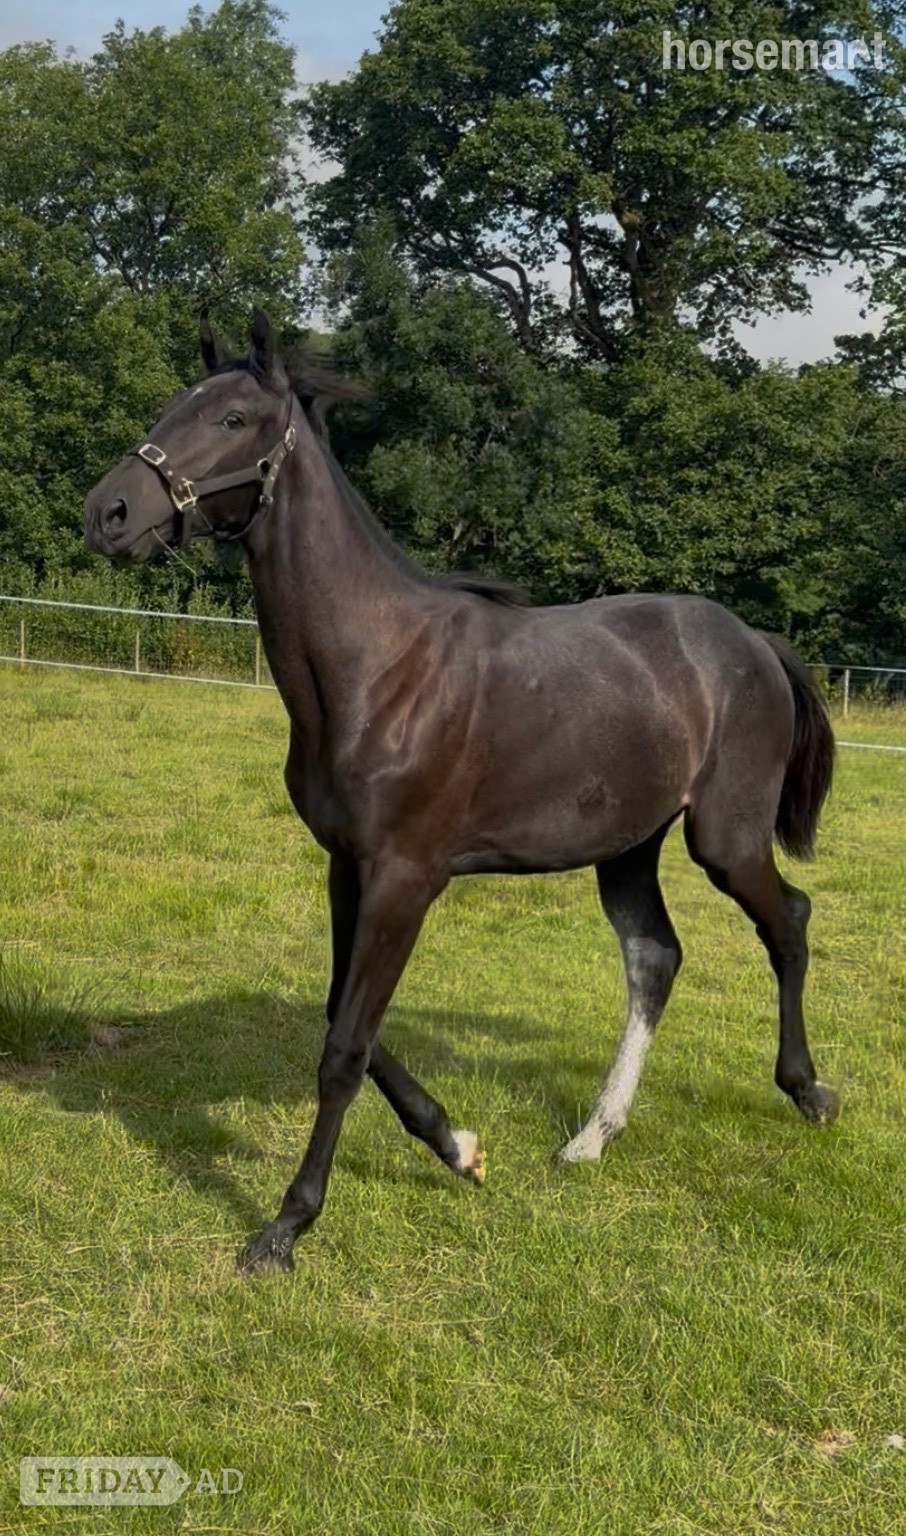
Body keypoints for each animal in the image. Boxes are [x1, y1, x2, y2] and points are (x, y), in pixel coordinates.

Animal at [83, 310, 838, 1273]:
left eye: (232, 419)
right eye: (172, 404)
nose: (107, 513)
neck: (378, 670)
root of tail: (755, 643)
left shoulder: (406, 877)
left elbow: (344, 1046)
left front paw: (286, 1227)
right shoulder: (348, 868)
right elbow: (347, 1021)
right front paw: (459, 1149)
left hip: (725, 839)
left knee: (789, 922)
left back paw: (809, 1091)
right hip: (627, 847)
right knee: (654, 958)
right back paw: (591, 1137)